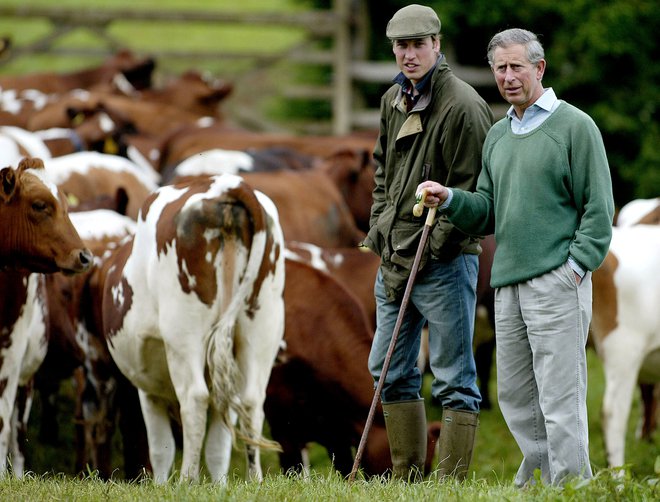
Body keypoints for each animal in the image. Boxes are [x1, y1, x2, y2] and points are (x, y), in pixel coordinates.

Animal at [99, 174, 284, 482]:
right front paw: (220, 485)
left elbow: (160, 449)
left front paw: (162, 485)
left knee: (194, 398)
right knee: (252, 402)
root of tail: (227, 184)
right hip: (261, 327)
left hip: (183, 334)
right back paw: (255, 480)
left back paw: (188, 480)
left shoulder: (148, 390)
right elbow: (218, 448)